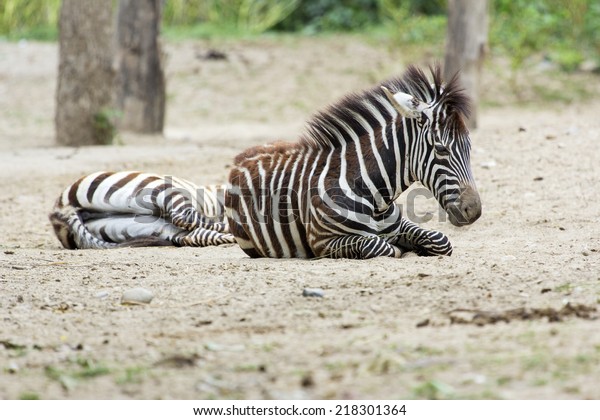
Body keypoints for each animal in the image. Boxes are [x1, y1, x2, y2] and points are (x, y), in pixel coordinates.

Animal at [225, 65, 482, 260]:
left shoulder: (400, 226)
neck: (375, 196)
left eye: (469, 147)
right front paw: (404, 249)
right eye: (441, 149)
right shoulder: (324, 241)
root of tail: (242, 156)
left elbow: (441, 240)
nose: (474, 211)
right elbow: (381, 246)